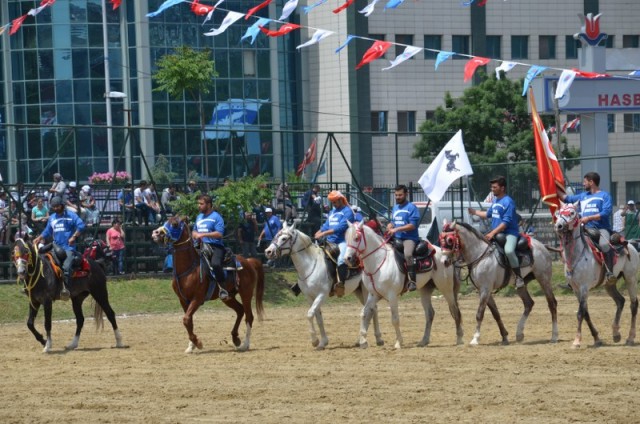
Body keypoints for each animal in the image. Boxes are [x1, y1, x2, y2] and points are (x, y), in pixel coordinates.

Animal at [151, 217, 264, 352]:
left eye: (174, 224)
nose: (156, 233)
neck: (189, 267)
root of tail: (248, 261)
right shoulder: (183, 300)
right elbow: (189, 321)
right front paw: (191, 346)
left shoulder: (197, 298)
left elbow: (186, 319)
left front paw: (198, 343)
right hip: (228, 297)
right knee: (240, 310)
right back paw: (235, 338)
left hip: (246, 293)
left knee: (249, 316)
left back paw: (245, 344)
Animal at [262, 220, 382, 350]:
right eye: (276, 235)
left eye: (284, 238)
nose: (268, 251)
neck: (310, 265)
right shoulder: (310, 297)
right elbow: (318, 318)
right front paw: (323, 342)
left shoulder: (321, 295)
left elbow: (310, 314)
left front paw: (315, 340)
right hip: (359, 291)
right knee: (372, 309)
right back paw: (364, 340)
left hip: (366, 291)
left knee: (371, 310)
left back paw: (373, 339)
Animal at [552, 202, 636, 348]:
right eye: (558, 213)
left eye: (572, 213)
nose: (559, 226)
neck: (577, 256)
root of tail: (630, 244)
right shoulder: (576, 289)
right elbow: (586, 313)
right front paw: (597, 338)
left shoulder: (584, 288)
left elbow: (580, 313)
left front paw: (577, 341)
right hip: (609, 284)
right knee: (620, 301)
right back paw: (616, 334)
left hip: (631, 279)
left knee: (634, 305)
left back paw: (630, 338)